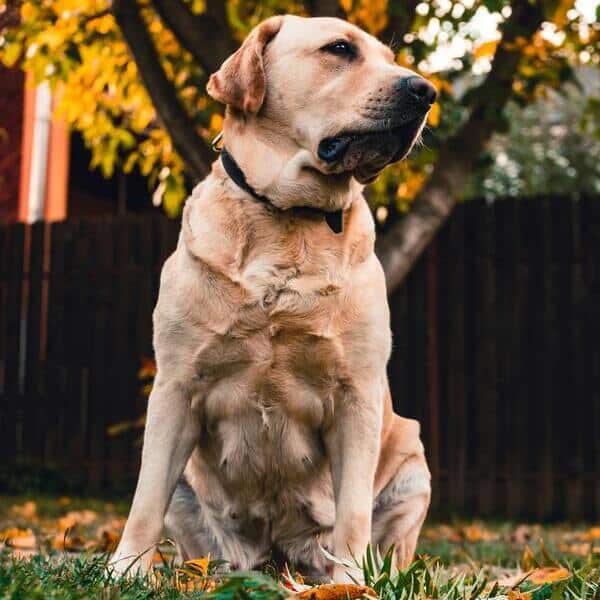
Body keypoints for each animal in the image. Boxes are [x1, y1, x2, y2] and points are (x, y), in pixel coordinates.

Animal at [110, 16, 434, 584]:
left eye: (390, 59)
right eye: (340, 49)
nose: (425, 91)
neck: (289, 217)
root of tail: (279, 557)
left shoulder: (357, 394)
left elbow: (353, 513)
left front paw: (351, 585)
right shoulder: (175, 387)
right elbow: (145, 500)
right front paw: (124, 571)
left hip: (413, 465)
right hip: (192, 494)